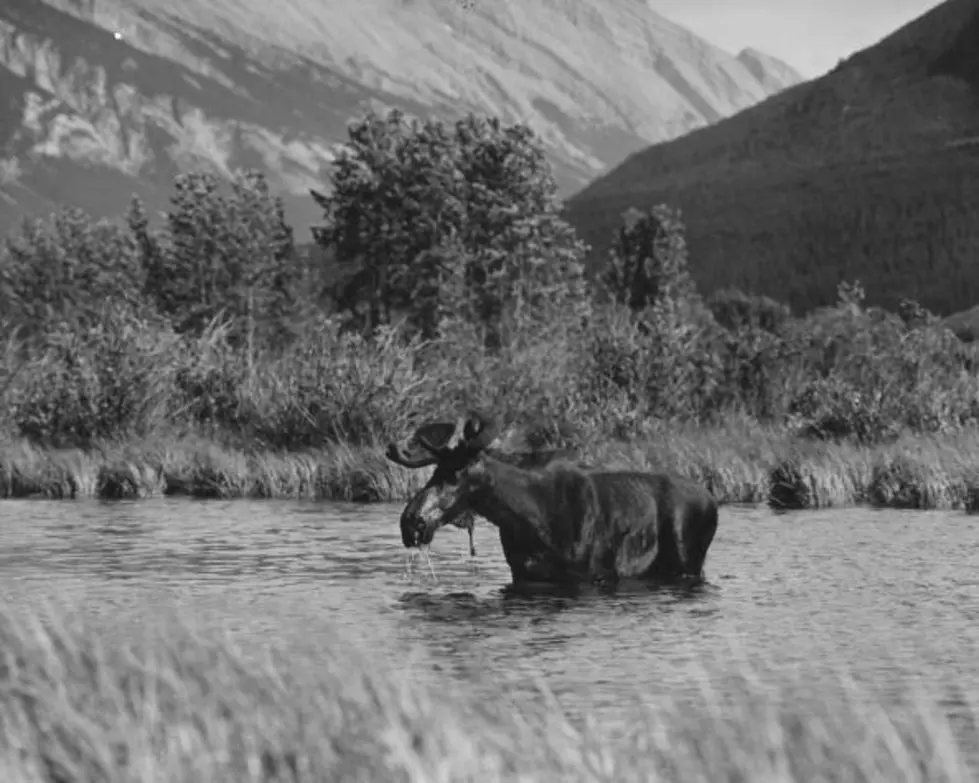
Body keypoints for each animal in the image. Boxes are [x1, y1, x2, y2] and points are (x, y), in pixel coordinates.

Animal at [388, 410, 720, 588]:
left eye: (457, 472)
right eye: (434, 471)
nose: (411, 522)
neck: (528, 519)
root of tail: (712, 501)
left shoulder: (593, 575)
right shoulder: (525, 576)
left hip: (688, 564)